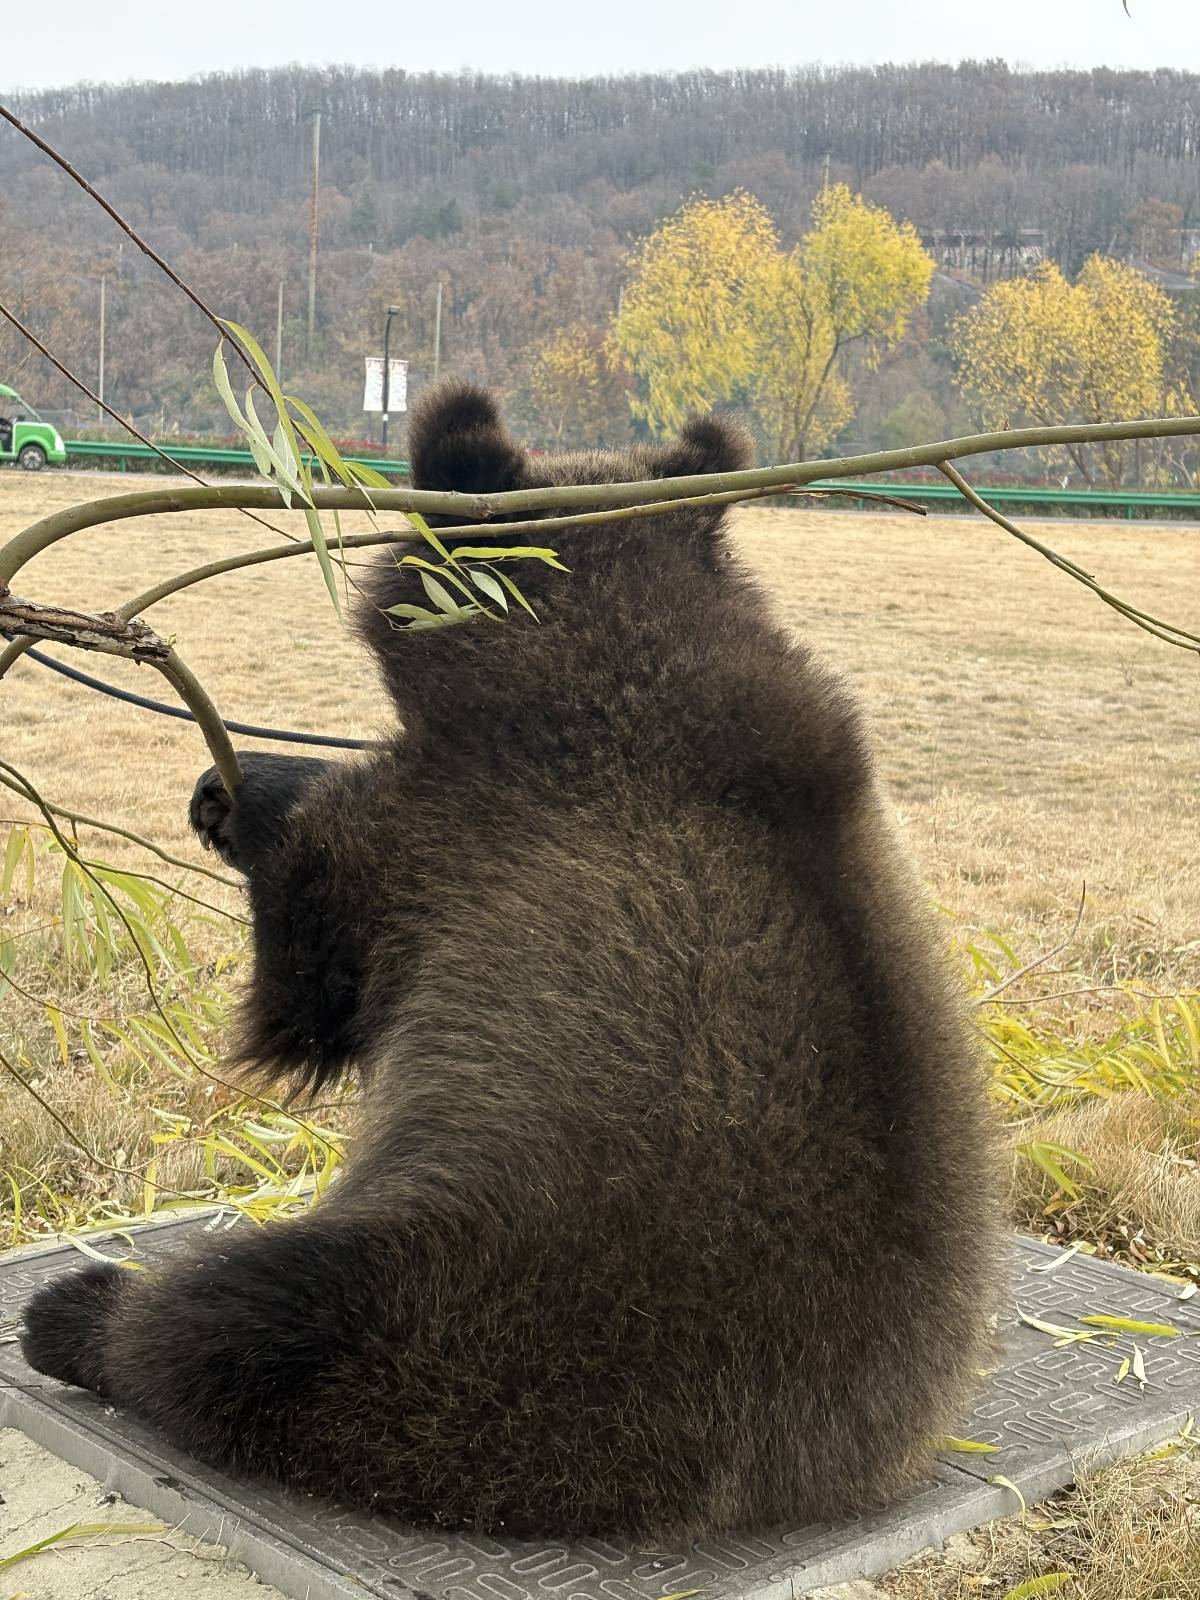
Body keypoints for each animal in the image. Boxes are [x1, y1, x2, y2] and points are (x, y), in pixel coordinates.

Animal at [23, 384, 998, 1536]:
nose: (209, 795)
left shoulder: (451, 840)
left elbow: (310, 976)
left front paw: (246, 799)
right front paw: (238, 778)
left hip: (484, 1301)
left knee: (250, 1328)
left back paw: (83, 1312)